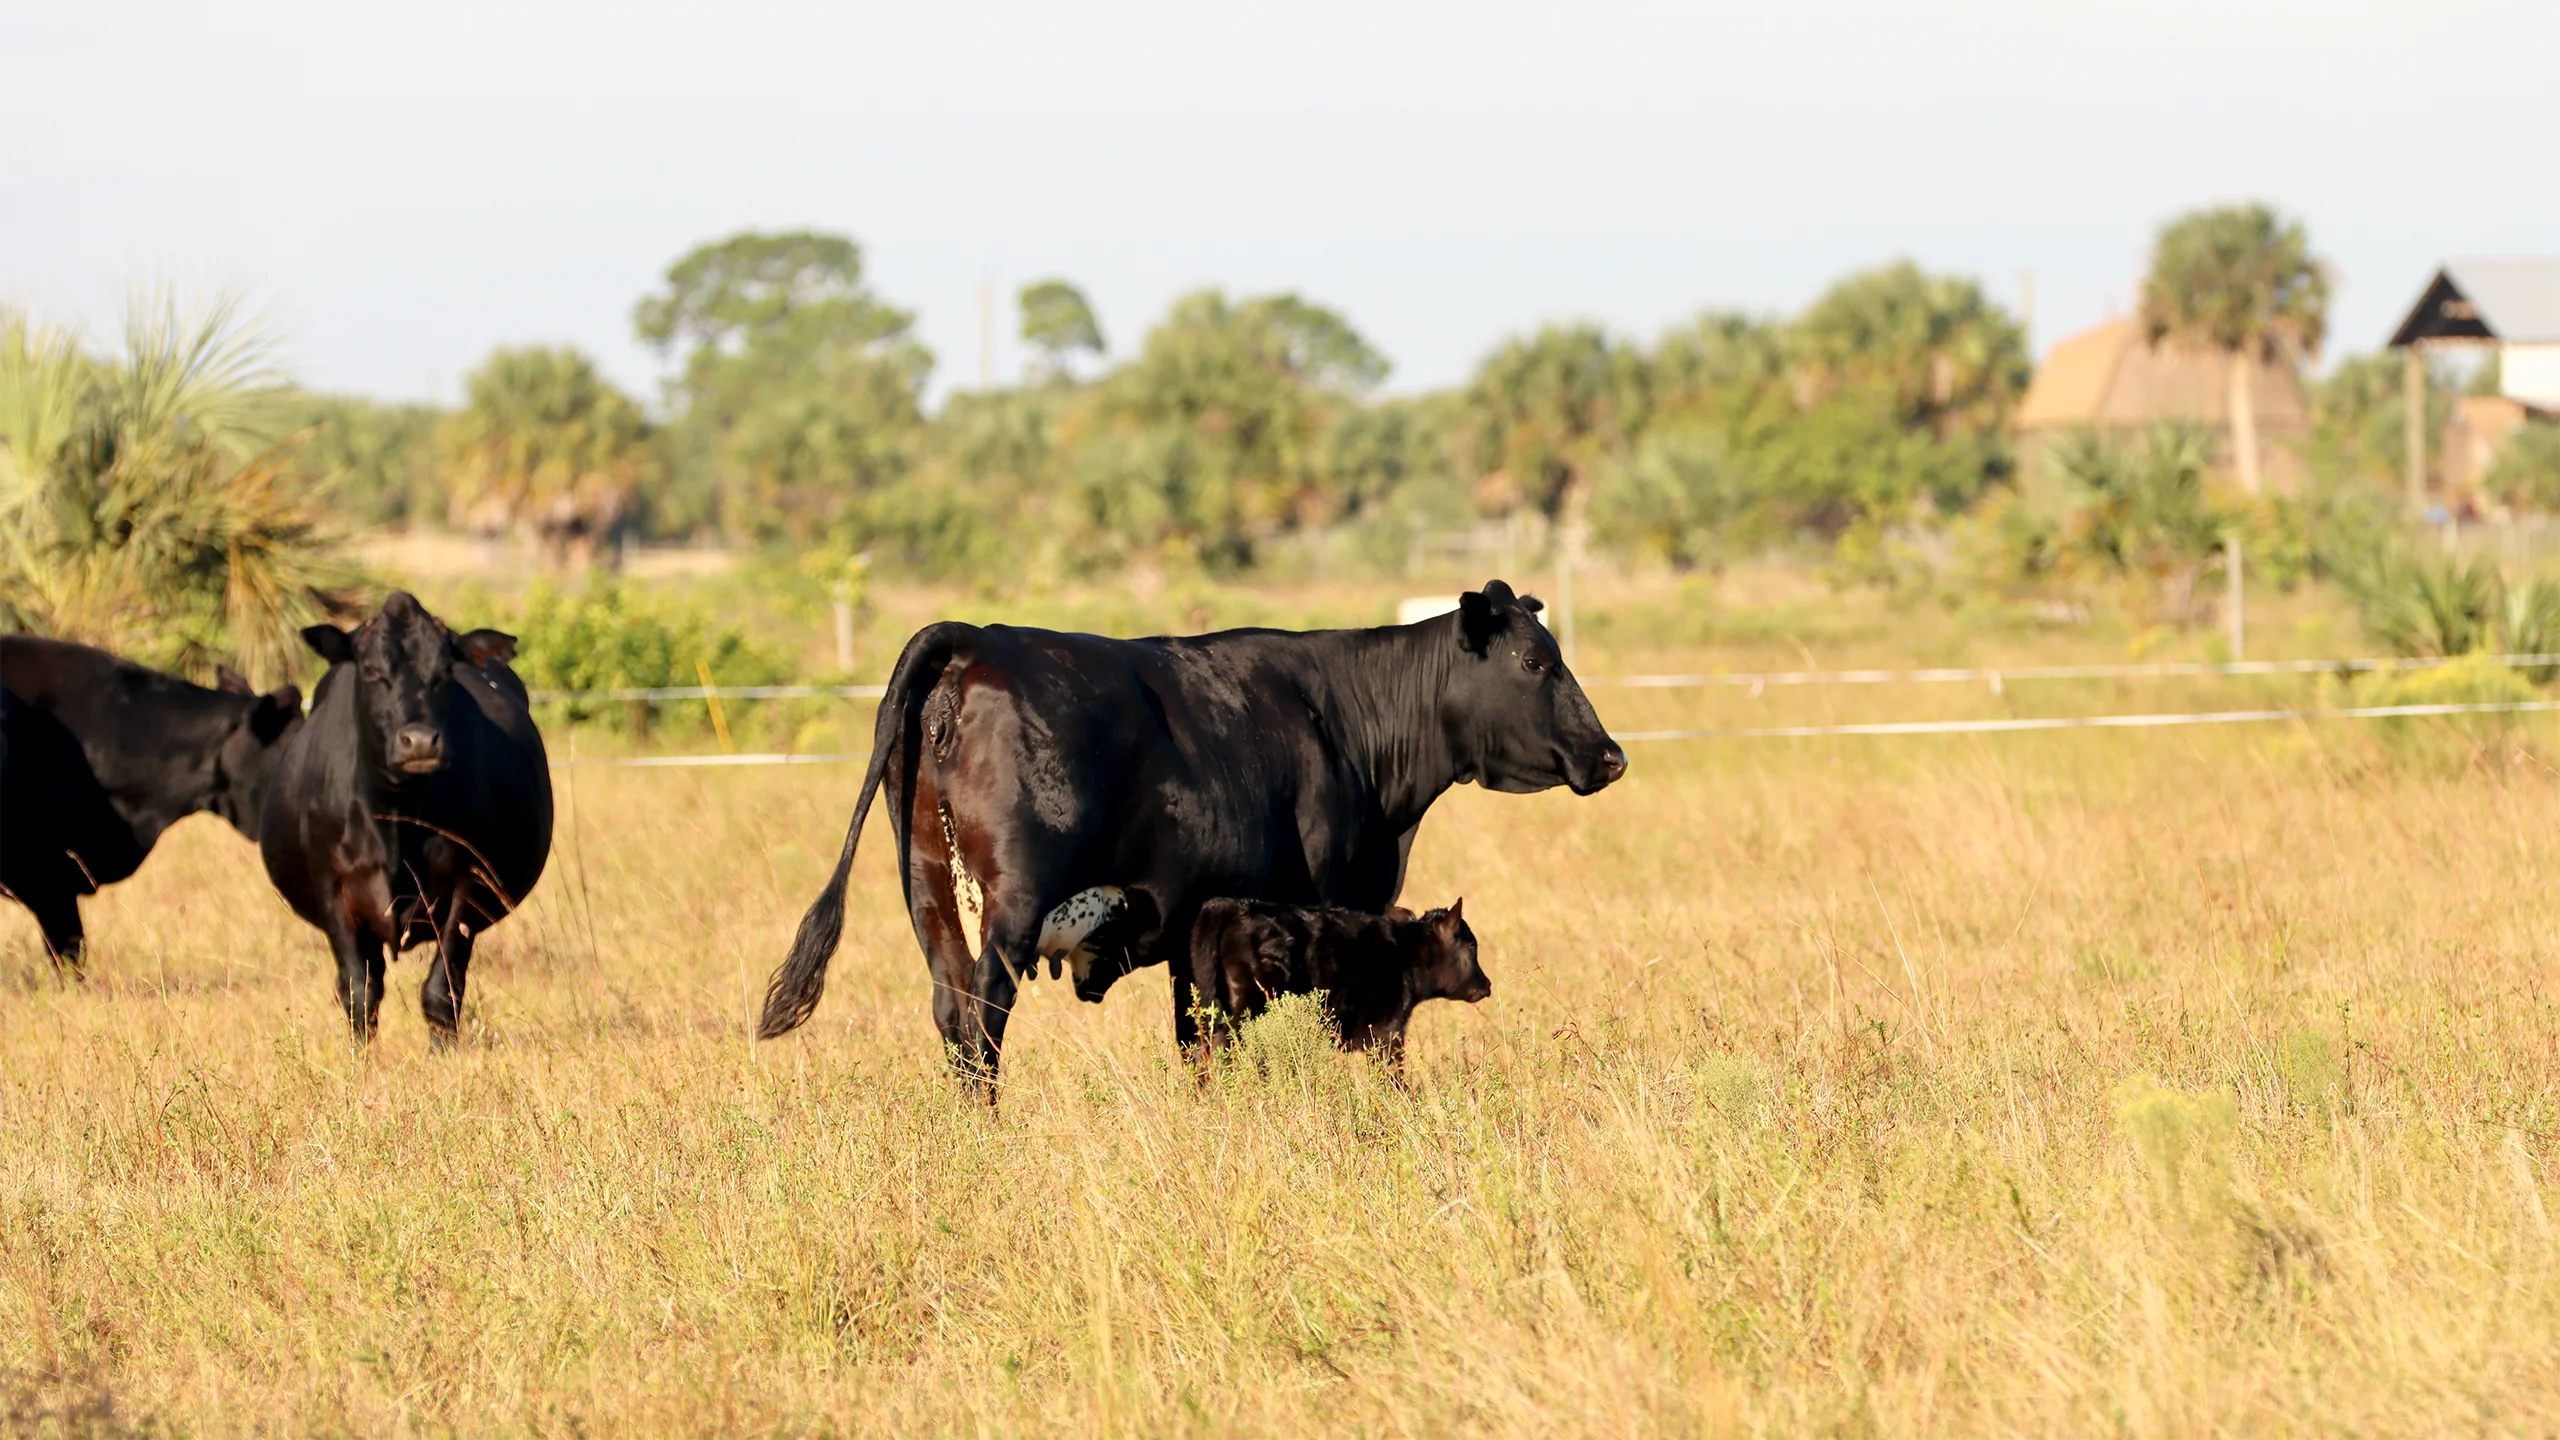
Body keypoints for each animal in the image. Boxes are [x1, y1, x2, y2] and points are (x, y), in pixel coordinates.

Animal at [259, 592, 553, 1044]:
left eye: (444, 671)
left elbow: (441, 992)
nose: (419, 741)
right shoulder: (333, 893)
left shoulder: (468, 886)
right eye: (372, 670)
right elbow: (358, 993)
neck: (394, 823)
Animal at [1189, 897, 1490, 1070]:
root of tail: (1232, 906)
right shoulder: (1385, 1034)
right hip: (1248, 1011)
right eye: (1472, 945)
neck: (1406, 950)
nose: (1486, 984)